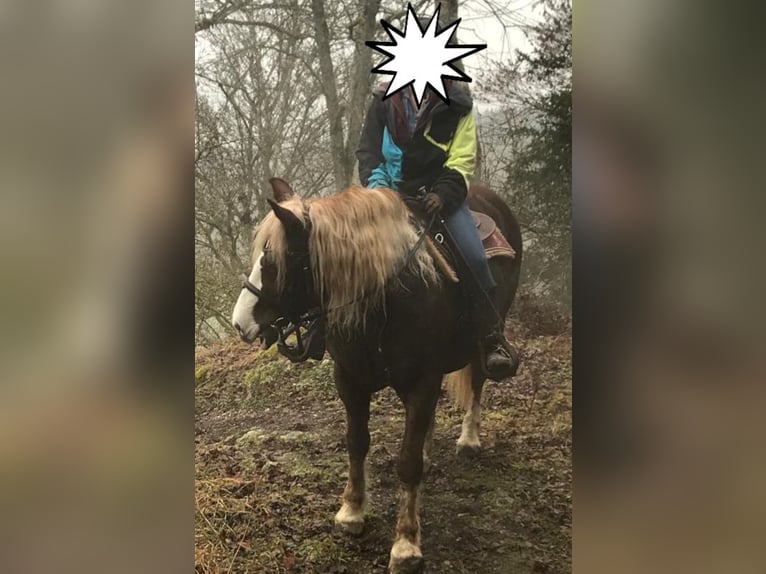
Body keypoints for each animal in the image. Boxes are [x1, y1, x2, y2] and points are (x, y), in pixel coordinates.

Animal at [231, 178, 524, 572]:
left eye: (273, 261)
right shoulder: (350, 379)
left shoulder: (423, 380)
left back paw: (469, 438)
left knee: (477, 379)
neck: (387, 299)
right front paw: (352, 511)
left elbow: (407, 463)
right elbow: (357, 442)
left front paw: (406, 544)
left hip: (484, 337)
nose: (239, 323)